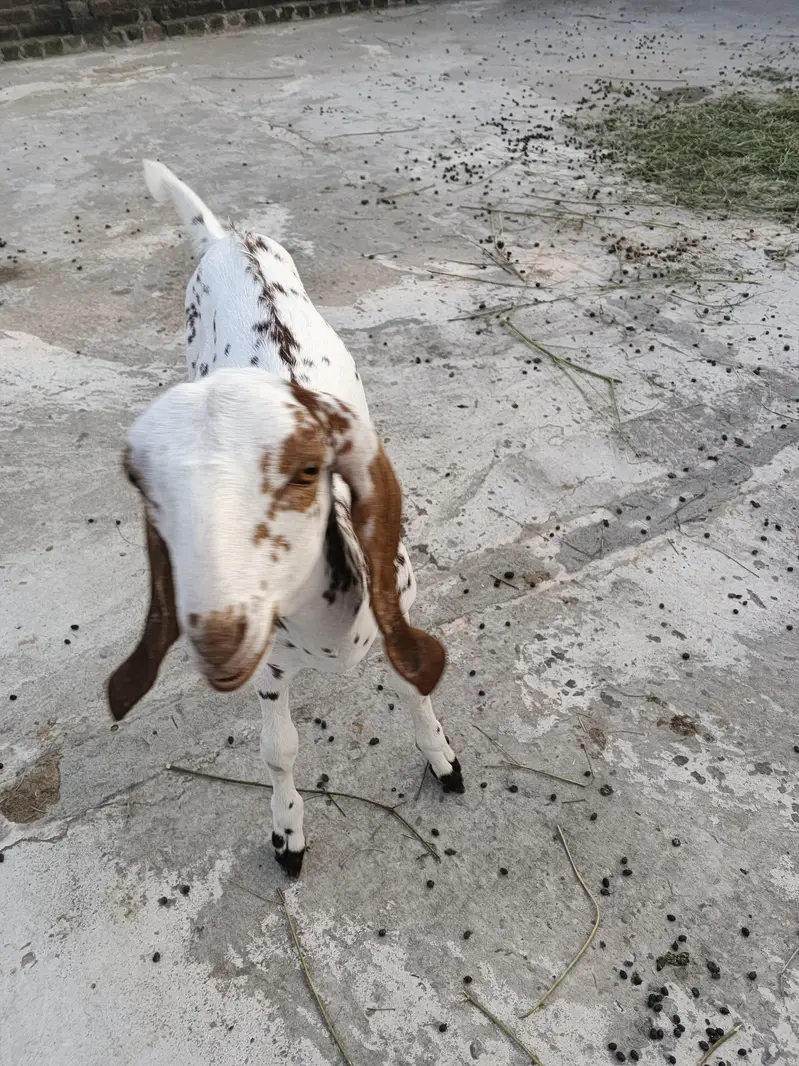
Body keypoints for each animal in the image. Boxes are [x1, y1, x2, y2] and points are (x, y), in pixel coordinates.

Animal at [107, 160, 464, 876]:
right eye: (161, 495)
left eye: (301, 472)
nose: (218, 635)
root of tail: (228, 237)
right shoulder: (270, 670)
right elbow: (280, 750)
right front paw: (288, 837)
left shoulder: (398, 605)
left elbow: (413, 685)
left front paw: (443, 760)